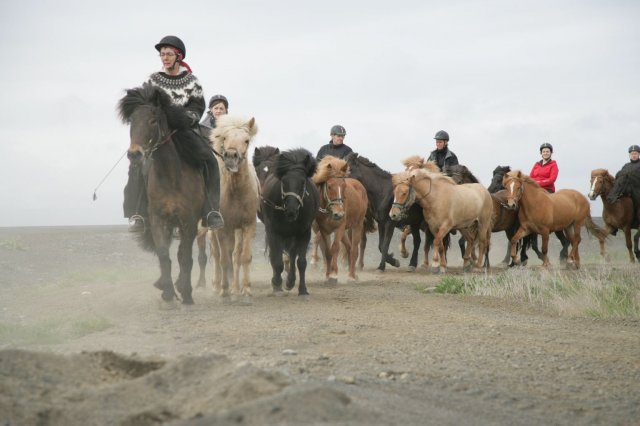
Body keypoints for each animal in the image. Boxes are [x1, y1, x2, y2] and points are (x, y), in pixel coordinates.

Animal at [116, 83, 204, 302]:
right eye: (132, 122)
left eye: (153, 120)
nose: (134, 154)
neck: (171, 177)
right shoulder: (158, 218)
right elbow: (164, 254)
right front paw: (168, 295)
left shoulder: (189, 221)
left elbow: (185, 256)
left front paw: (186, 294)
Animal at [209, 115, 262, 298]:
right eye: (225, 138)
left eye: (246, 140)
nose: (231, 155)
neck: (237, 192)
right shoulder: (222, 228)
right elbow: (223, 259)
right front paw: (224, 290)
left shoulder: (248, 226)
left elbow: (243, 257)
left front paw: (245, 289)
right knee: (217, 255)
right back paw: (218, 286)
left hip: (237, 231)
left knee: (235, 255)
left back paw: (235, 287)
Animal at [260, 148, 320, 294]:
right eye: (283, 181)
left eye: (303, 182)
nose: (291, 210)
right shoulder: (273, 232)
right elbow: (277, 261)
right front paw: (276, 283)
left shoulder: (304, 233)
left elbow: (301, 262)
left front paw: (302, 289)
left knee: (293, 255)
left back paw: (290, 281)